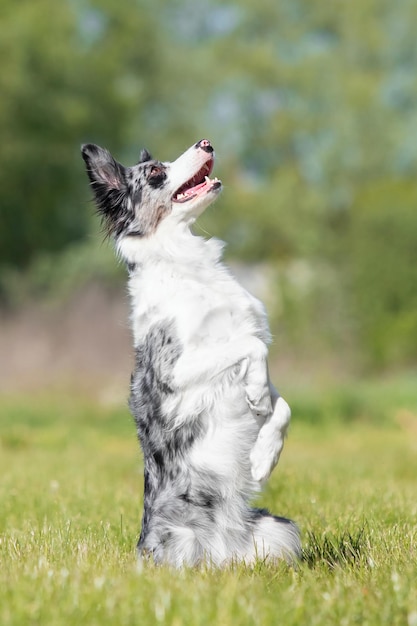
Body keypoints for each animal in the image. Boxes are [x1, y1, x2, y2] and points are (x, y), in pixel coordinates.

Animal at [80, 138, 300, 564]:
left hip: (279, 529)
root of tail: (221, 553)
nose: (206, 142)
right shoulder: (176, 371)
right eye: (154, 172)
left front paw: (264, 457)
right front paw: (257, 395)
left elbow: (282, 407)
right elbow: (250, 348)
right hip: (175, 544)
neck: (187, 267)